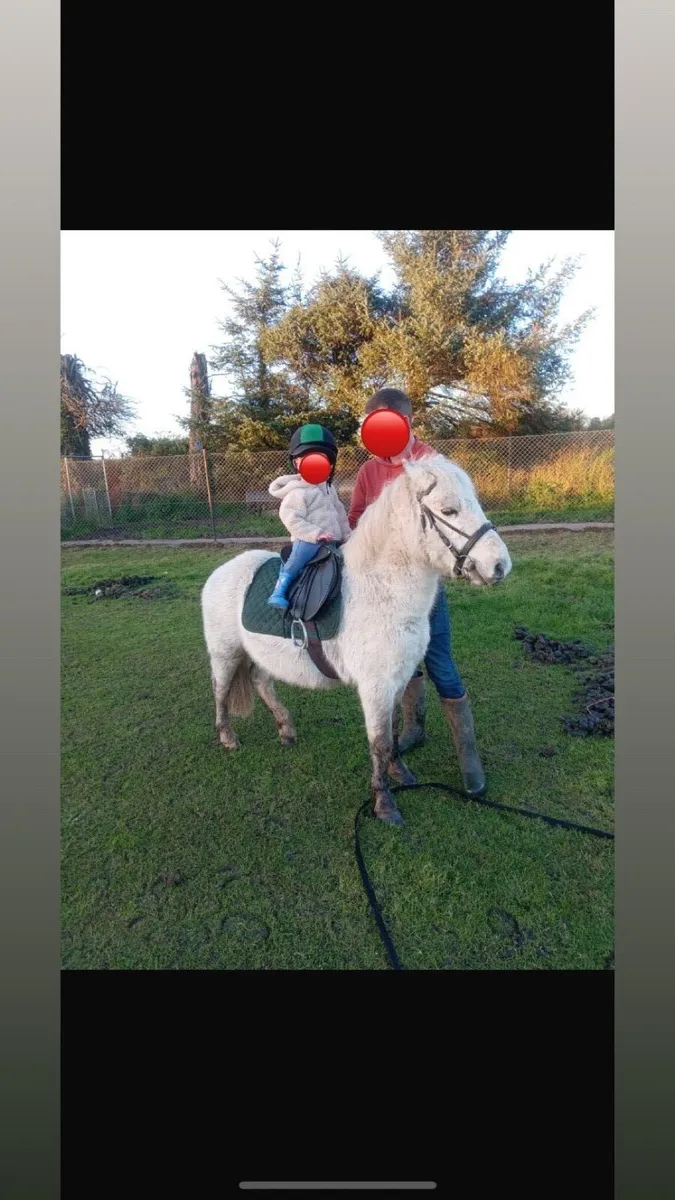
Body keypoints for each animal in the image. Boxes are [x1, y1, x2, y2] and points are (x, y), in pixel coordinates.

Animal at [201, 454, 512, 825]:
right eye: (448, 510)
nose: (500, 566)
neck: (382, 589)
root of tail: (222, 571)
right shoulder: (375, 685)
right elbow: (379, 742)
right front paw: (384, 805)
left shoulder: (398, 679)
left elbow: (393, 732)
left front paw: (400, 773)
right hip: (226, 652)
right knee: (220, 690)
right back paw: (227, 737)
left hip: (262, 654)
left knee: (261, 682)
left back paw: (286, 730)